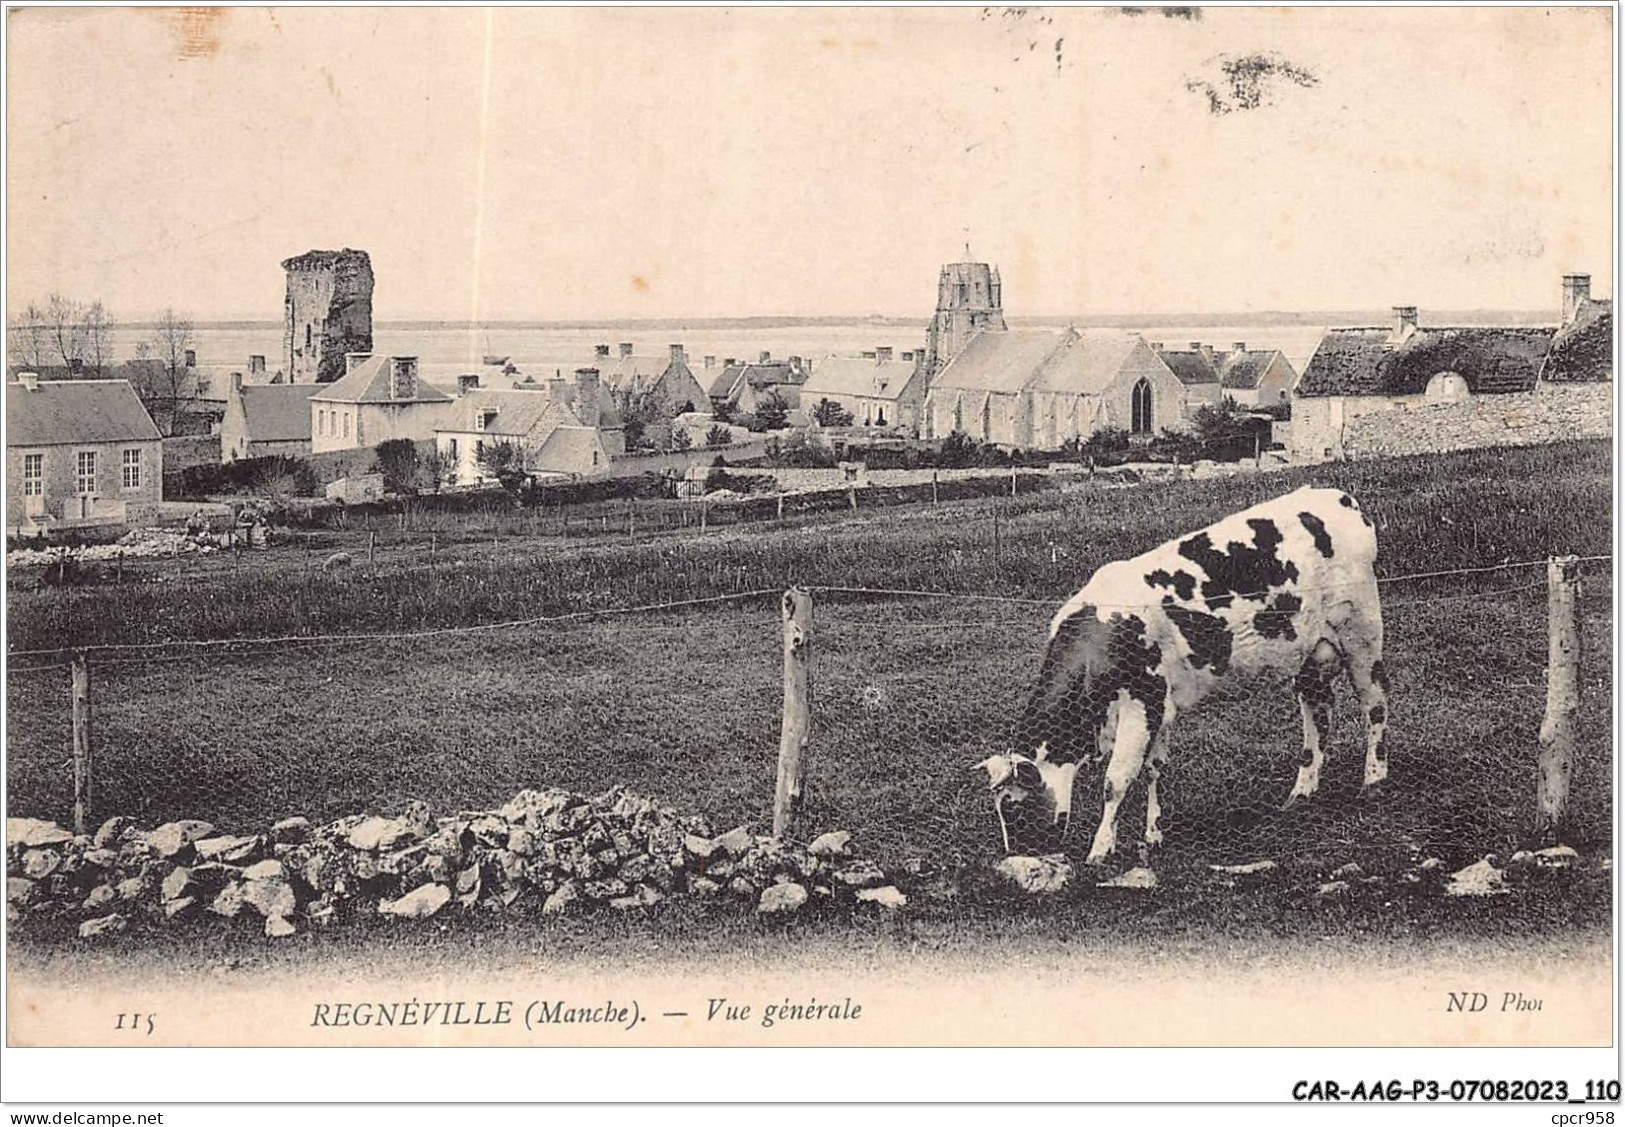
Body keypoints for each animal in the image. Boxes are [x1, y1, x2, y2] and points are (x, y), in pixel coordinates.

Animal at [968, 487, 1391, 863]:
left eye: (1012, 808)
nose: (1018, 855)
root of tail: (1338, 498)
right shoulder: (1160, 706)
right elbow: (1154, 769)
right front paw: (1153, 835)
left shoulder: (1144, 701)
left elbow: (1115, 781)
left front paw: (1101, 849)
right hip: (1312, 652)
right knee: (1318, 711)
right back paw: (1302, 793)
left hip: (1361, 631)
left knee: (1375, 702)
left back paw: (1373, 781)